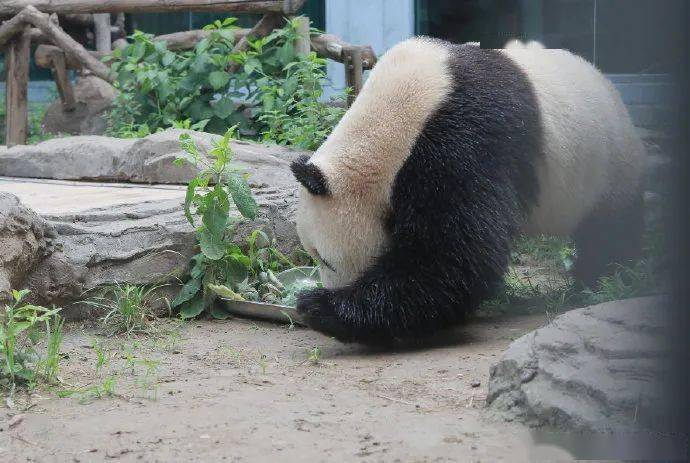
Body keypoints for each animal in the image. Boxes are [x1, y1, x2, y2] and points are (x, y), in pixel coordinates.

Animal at [288, 38, 644, 346]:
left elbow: (452, 252)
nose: (332, 285)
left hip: (606, 170)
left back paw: (599, 280)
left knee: (609, 232)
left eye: (324, 258)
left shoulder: (464, 140)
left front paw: (321, 307)